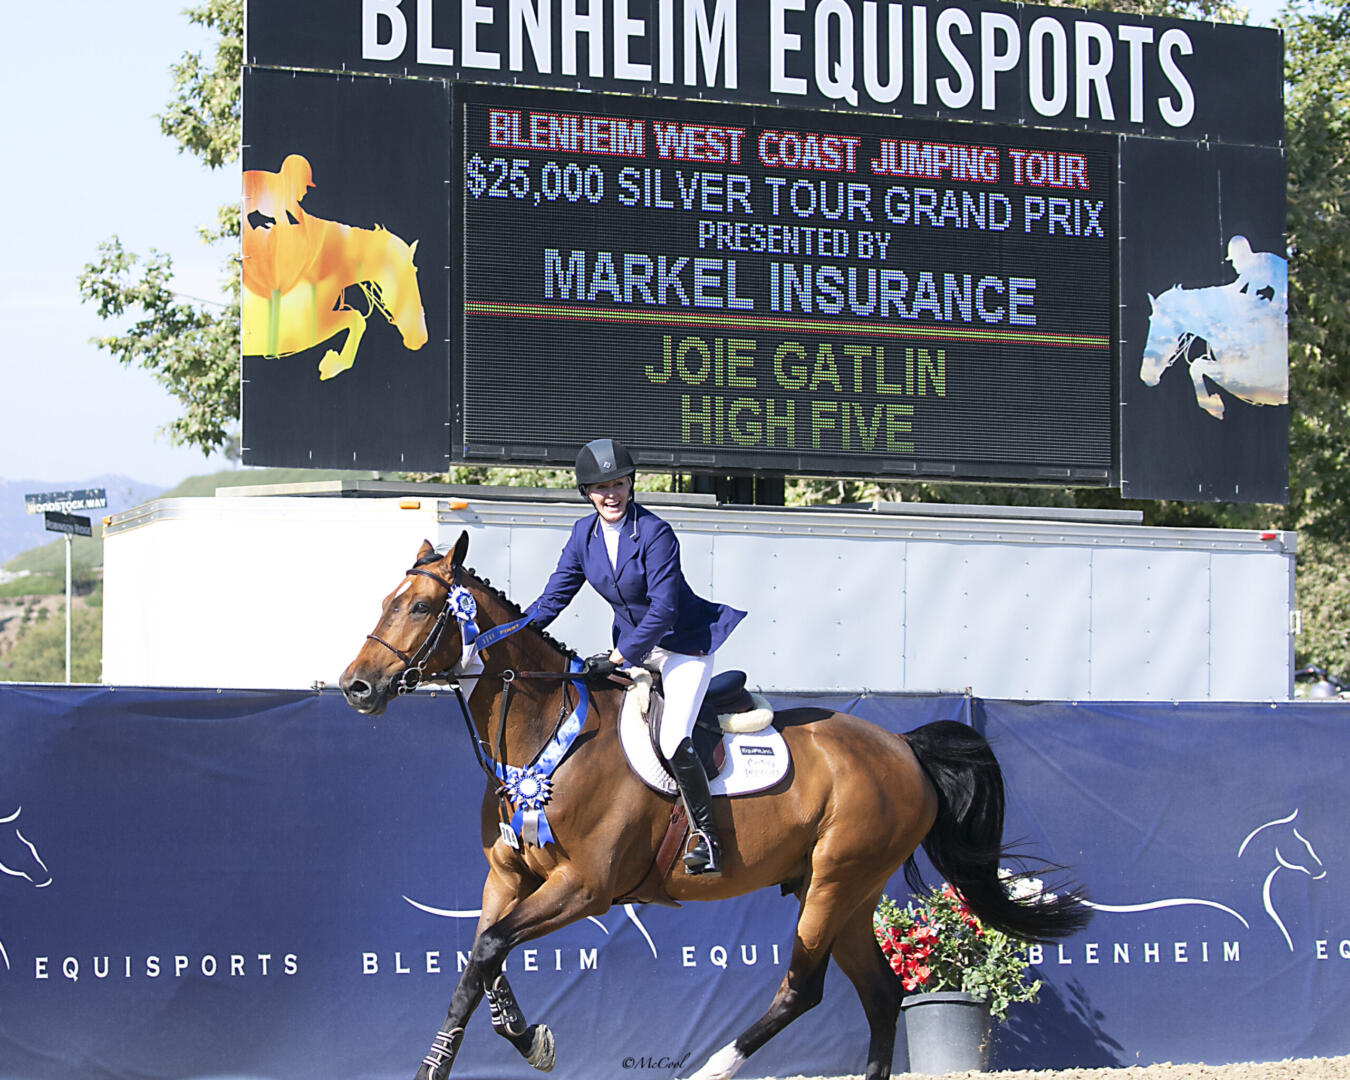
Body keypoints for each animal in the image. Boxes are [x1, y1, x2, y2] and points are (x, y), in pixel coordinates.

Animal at [337, 534, 1085, 1080]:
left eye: (420, 609)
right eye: (385, 600)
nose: (356, 688)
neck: (545, 737)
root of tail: (902, 746)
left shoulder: (586, 886)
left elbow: (488, 950)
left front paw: (461, 1061)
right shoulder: (509, 875)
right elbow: (480, 960)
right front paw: (527, 1041)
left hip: (838, 879)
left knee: (803, 989)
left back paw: (711, 1070)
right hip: (842, 888)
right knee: (880, 993)